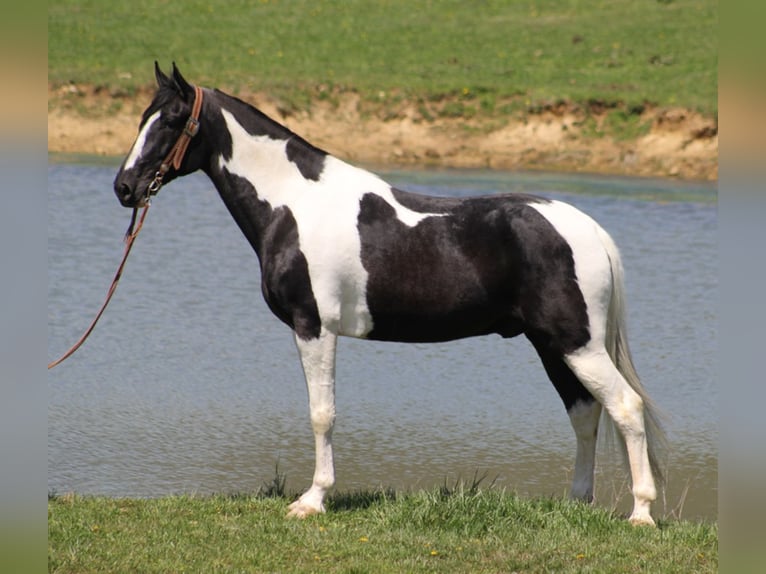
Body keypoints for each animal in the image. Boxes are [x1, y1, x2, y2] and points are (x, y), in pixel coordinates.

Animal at [112, 63, 664, 528]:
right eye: (142, 118)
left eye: (171, 121)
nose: (124, 188)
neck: (294, 204)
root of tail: (588, 229)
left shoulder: (313, 326)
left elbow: (322, 414)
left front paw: (312, 501)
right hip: (553, 344)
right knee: (585, 412)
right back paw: (578, 504)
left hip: (576, 344)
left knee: (625, 407)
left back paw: (641, 514)